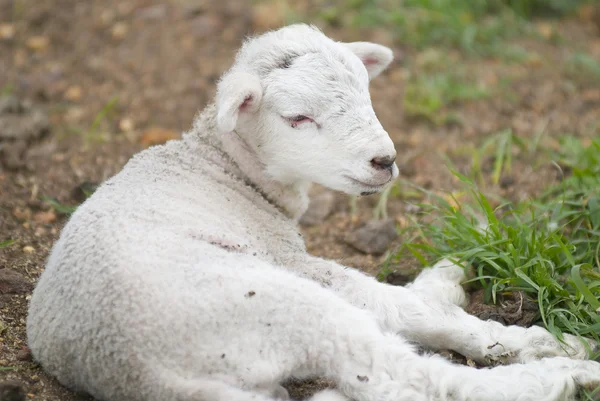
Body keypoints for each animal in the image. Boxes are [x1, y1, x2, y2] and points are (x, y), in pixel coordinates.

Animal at [28, 25, 600, 400]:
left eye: (368, 92)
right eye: (297, 118)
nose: (385, 160)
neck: (225, 168)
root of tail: (140, 373)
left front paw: (446, 277)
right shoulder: (292, 261)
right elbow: (406, 308)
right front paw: (540, 341)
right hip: (280, 306)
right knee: (409, 377)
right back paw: (563, 373)